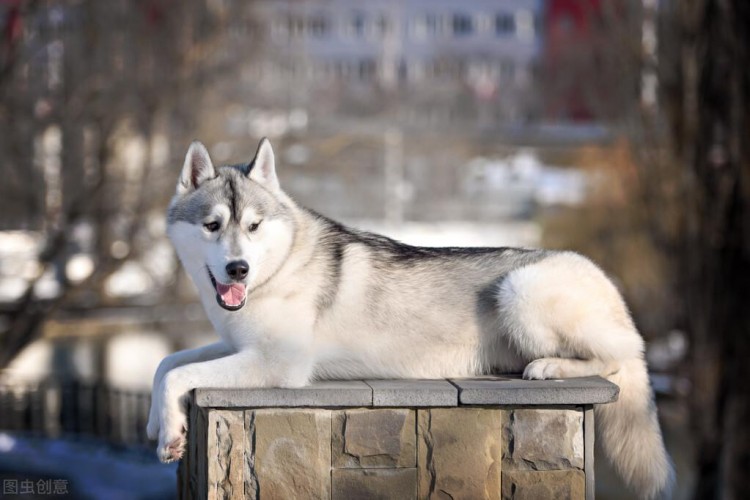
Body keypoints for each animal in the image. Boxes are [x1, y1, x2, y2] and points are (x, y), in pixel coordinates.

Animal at [147, 138, 676, 500]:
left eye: (254, 226)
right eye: (213, 225)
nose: (238, 268)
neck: (278, 268)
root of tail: (607, 281)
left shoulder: (278, 362)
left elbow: (181, 373)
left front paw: (171, 433)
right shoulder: (240, 346)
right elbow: (167, 364)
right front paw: (159, 422)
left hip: (521, 290)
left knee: (615, 360)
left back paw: (551, 367)